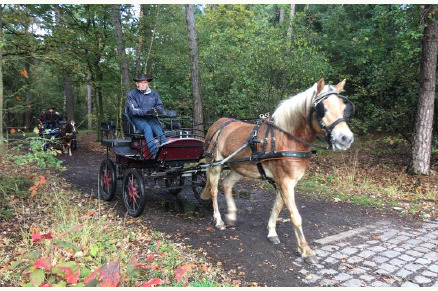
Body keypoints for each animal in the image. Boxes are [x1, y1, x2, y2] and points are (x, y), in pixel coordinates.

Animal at [200, 78, 354, 262]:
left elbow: (278, 207)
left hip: (239, 167)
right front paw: (305, 250)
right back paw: (219, 220)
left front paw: (272, 232)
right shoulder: (285, 181)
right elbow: (295, 216)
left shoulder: (287, 182)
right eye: (322, 109)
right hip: (214, 164)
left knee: (227, 184)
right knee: (214, 190)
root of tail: (217, 124)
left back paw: (231, 215)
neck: (287, 139)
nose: (346, 138)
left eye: (344, 108)